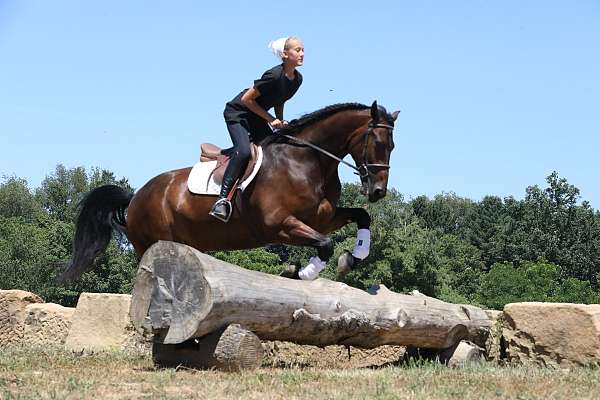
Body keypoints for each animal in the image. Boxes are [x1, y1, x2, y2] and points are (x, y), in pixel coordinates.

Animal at [62, 100, 398, 282]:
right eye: (378, 143)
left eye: (392, 145)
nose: (378, 191)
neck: (307, 162)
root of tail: (135, 197)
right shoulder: (279, 225)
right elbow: (325, 245)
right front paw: (301, 273)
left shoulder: (322, 219)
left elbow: (362, 216)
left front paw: (352, 258)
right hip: (151, 244)